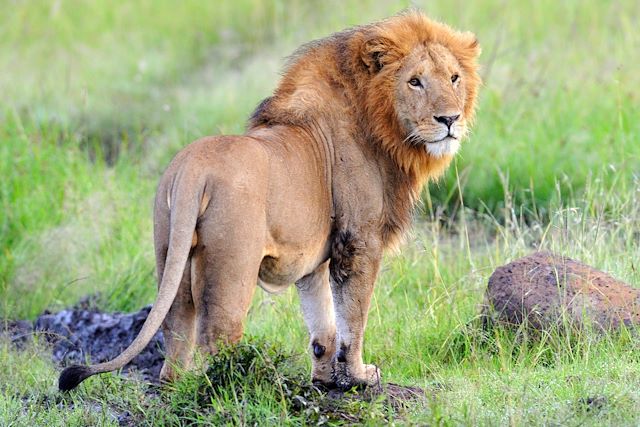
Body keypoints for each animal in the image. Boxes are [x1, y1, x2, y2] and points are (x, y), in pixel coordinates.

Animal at [58, 10, 480, 392]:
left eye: (454, 78)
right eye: (415, 82)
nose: (449, 119)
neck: (384, 129)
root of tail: (193, 166)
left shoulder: (314, 255)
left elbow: (322, 323)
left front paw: (326, 379)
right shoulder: (358, 242)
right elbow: (353, 317)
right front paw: (359, 376)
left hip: (169, 249)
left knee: (176, 329)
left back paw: (177, 389)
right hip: (233, 263)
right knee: (218, 335)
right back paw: (238, 385)